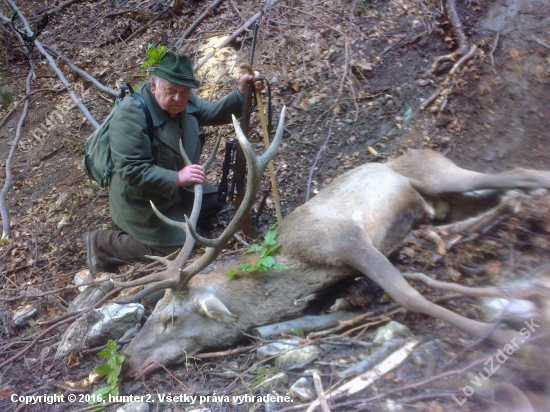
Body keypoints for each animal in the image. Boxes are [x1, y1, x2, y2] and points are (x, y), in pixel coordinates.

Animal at [111, 107, 550, 380]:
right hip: (443, 204)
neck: (298, 268)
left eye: (171, 318)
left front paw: (512, 341)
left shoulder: (348, 239)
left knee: (518, 173)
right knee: (498, 199)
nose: (126, 364)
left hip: (439, 173)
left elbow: (409, 296)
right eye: (154, 313)